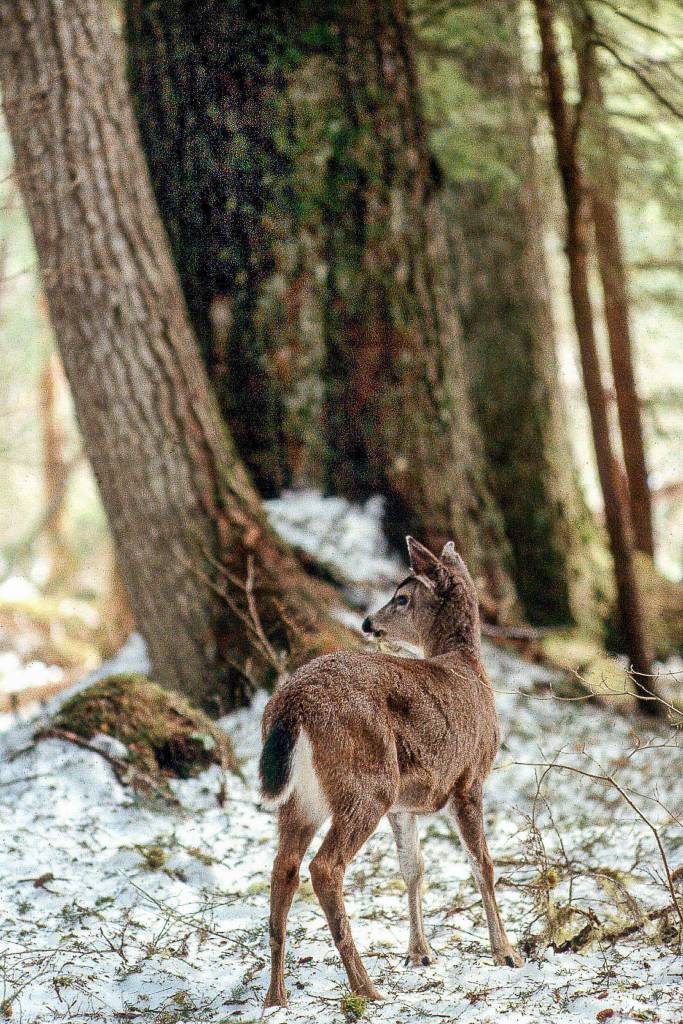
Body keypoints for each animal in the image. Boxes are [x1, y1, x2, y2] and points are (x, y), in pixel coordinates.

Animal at [259, 536, 522, 1007]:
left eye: (402, 597)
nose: (368, 622)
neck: (468, 667)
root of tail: (292, 706)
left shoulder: (405, 804)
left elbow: (412, 867)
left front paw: (420, 954)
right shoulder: (469, 776)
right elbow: (483, 863)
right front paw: (506, 953)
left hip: (303, 798)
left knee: (283, 869)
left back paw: (277, 998)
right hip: (367, 784)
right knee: (325, 867)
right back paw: (365, 987)